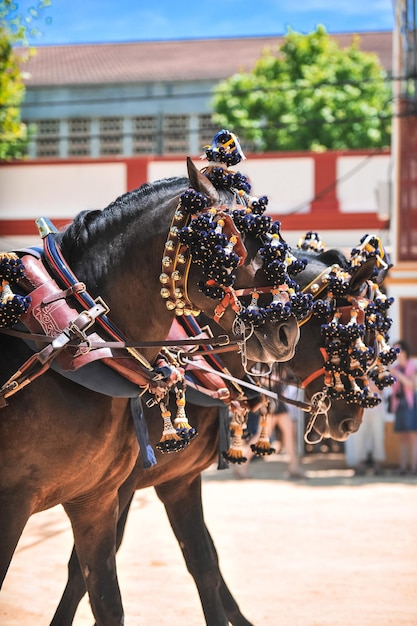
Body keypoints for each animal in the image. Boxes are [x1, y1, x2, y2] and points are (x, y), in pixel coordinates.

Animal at [48, 236, 394, 620]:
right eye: (350, 336)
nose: (352, 420)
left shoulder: (176, 479)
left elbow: (205, 558)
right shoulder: (117, 486)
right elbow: (83, 569)